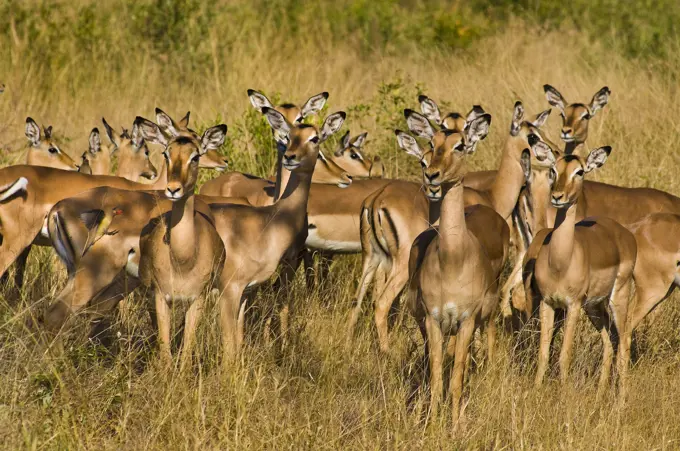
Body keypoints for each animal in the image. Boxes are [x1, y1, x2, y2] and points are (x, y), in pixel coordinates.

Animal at [135, 115, 228, 370]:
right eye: (166, 153)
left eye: (195, 156)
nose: (173, 189)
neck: (183, 259)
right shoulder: (160, 298)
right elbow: (166, 354)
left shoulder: (197, 300)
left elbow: (186, 354)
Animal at [404, 112, 510, 428]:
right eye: (432, 142)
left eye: (460, 144)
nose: (433, 175)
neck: (452, 259)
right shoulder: (433, 320)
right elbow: (439, 377)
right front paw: (431, 423)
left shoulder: (465, 321)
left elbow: (456, 380)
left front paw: (455, 426)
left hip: (487, 315)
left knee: (488, 342)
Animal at [520, 147, 636, 392]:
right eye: (554, 169)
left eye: (580, 171)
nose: (557, 196)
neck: (560, 263)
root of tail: (625, 234)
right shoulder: (548, 303)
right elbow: (543, 353)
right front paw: (535, 391)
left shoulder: (572, 305)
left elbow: (565, 354)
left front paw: (564, 394)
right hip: (594, 307)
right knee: (610, 341)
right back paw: (601, 394)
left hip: (617, 298)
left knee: (624, 342)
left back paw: (621, 398)